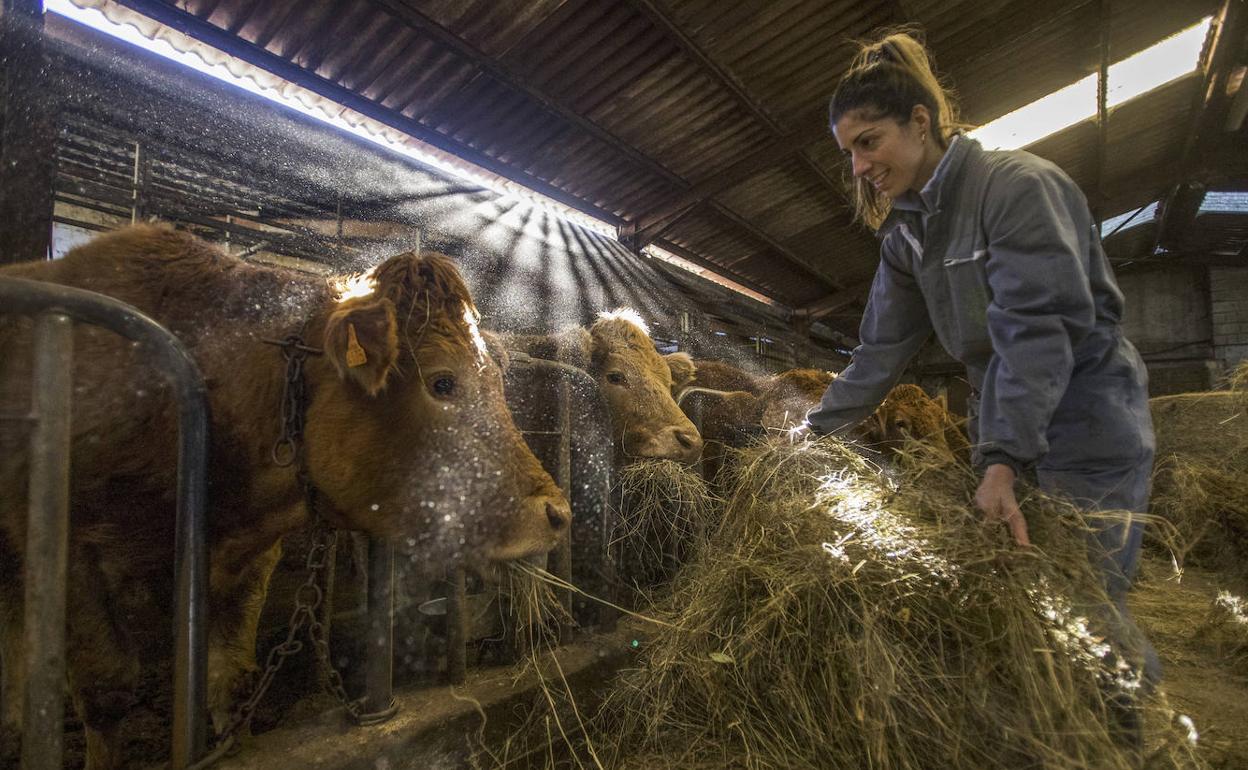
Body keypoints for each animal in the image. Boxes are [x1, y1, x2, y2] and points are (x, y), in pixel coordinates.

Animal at [0, 224, 571, 763]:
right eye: (443, 383)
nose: (557, 512)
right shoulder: (68, 546)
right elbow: (107, 688)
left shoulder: (251, 557)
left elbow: (230, 679)